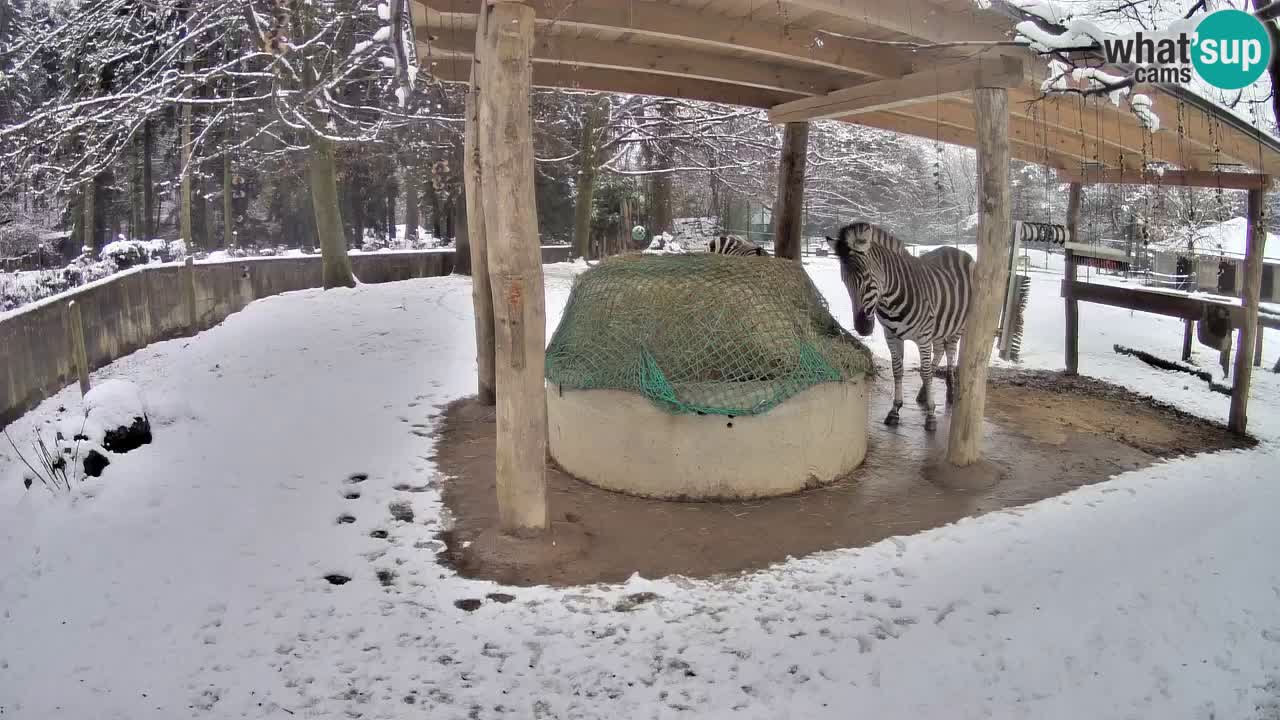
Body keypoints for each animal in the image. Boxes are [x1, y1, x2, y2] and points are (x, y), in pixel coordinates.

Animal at [829, 221, 967, 427]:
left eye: (867, 278)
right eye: (844, 282)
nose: (862, 328)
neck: (891, 300)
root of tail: (954, 249)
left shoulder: (923, 337)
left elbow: (926, 372)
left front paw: (931, 415)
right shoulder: (892, 336)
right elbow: (898, 370)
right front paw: (895, 410)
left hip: (957, 325)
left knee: (950, 352)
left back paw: (950, 392)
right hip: (939, 326)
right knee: (940, 350)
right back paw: (923, 394)